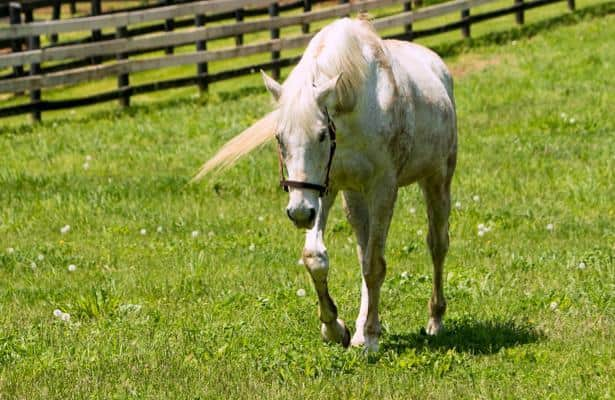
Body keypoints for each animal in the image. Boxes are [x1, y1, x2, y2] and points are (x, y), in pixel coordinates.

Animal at [195, 17, 460, 352]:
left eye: (322, 134)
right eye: (279, 138)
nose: (298, 213)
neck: (356, 108)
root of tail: (438, 66)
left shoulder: (383, 189)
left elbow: (376, 265)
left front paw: (371, 337)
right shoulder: (323, 189)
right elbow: (317, 258)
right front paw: (336, 328)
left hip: (437, 179)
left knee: (437, 245)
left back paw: (434, 320)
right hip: (353, 197)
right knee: (364, 252)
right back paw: (359, 329)